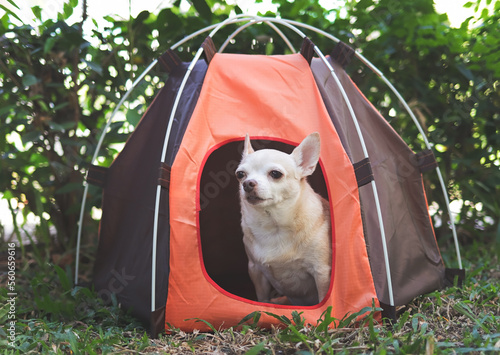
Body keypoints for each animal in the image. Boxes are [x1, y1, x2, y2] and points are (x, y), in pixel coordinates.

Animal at [235, 133, 332, 306]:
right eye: (240, 174)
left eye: (275, 174)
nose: (247, 183)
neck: (274, 225)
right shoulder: (255, 270)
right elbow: (262, 298)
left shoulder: (321, 272)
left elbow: (323, 300)